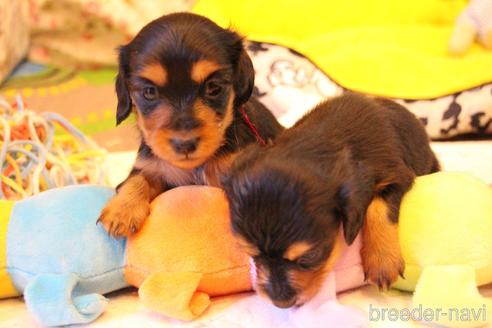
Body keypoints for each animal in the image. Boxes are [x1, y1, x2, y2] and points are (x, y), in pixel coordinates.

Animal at [98, 12, 282, 237]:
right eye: (149, 92)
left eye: (213, 87)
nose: (184, 144)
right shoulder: (153, 166)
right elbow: (137, 178)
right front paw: (122, 210)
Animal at [222, 92, 438, 308]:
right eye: (251, 254)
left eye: (310, 256)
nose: (281, 303)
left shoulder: (398, 174)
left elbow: (379, 208)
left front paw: (382, 261)